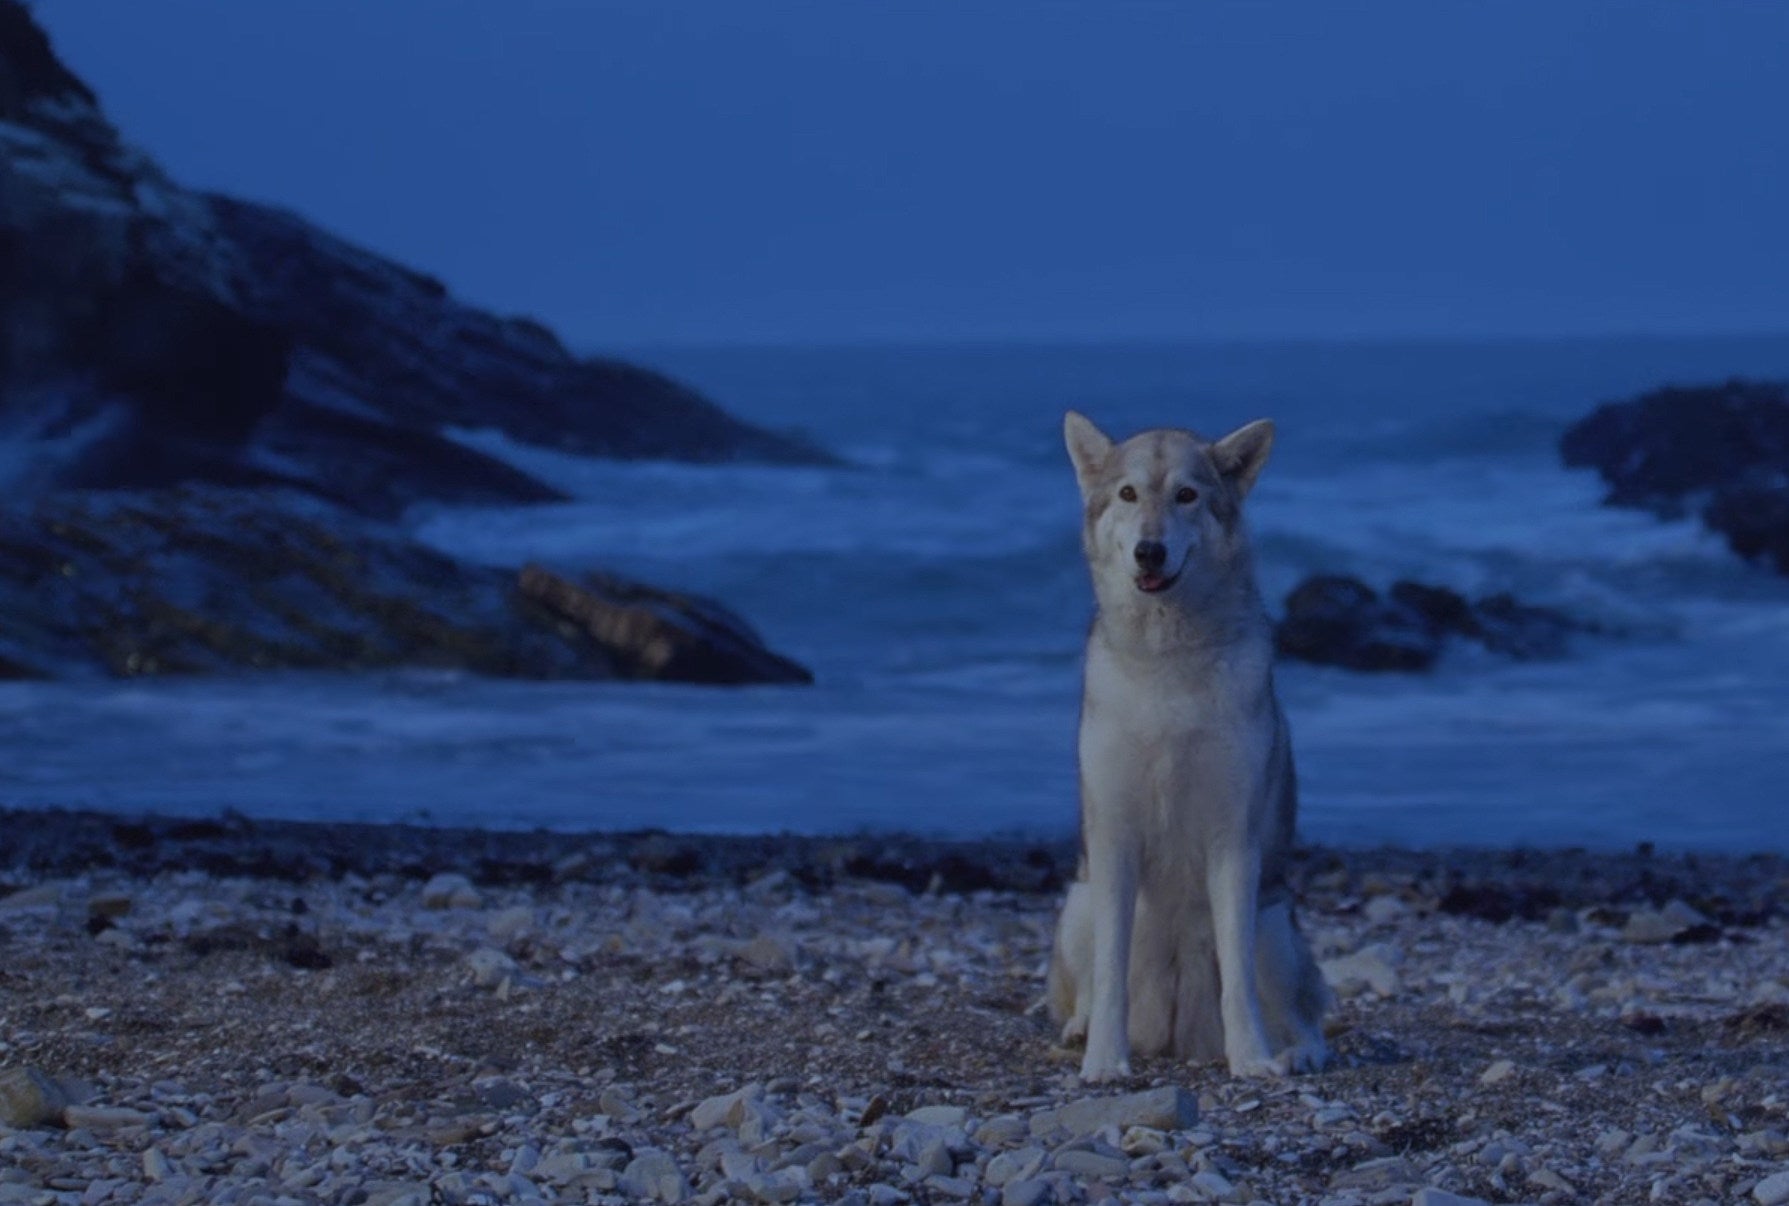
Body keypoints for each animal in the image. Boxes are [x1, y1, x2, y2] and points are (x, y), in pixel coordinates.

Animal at [1047, 411, 1330, 1081]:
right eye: (1128, 494)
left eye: (1186, 495)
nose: (1149, 550)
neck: (1166, 662)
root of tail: (1177, 1037)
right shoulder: (1115, 841)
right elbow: (1111, 975)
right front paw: (1104, 1060)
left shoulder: (1233, 842)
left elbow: (1239, 981)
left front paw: (1251, 1059)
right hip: (1079, 901)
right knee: (1088, 984)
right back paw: (1080, 1029)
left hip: (1272, 923)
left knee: (1303, 1013)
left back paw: (1297, 1052)